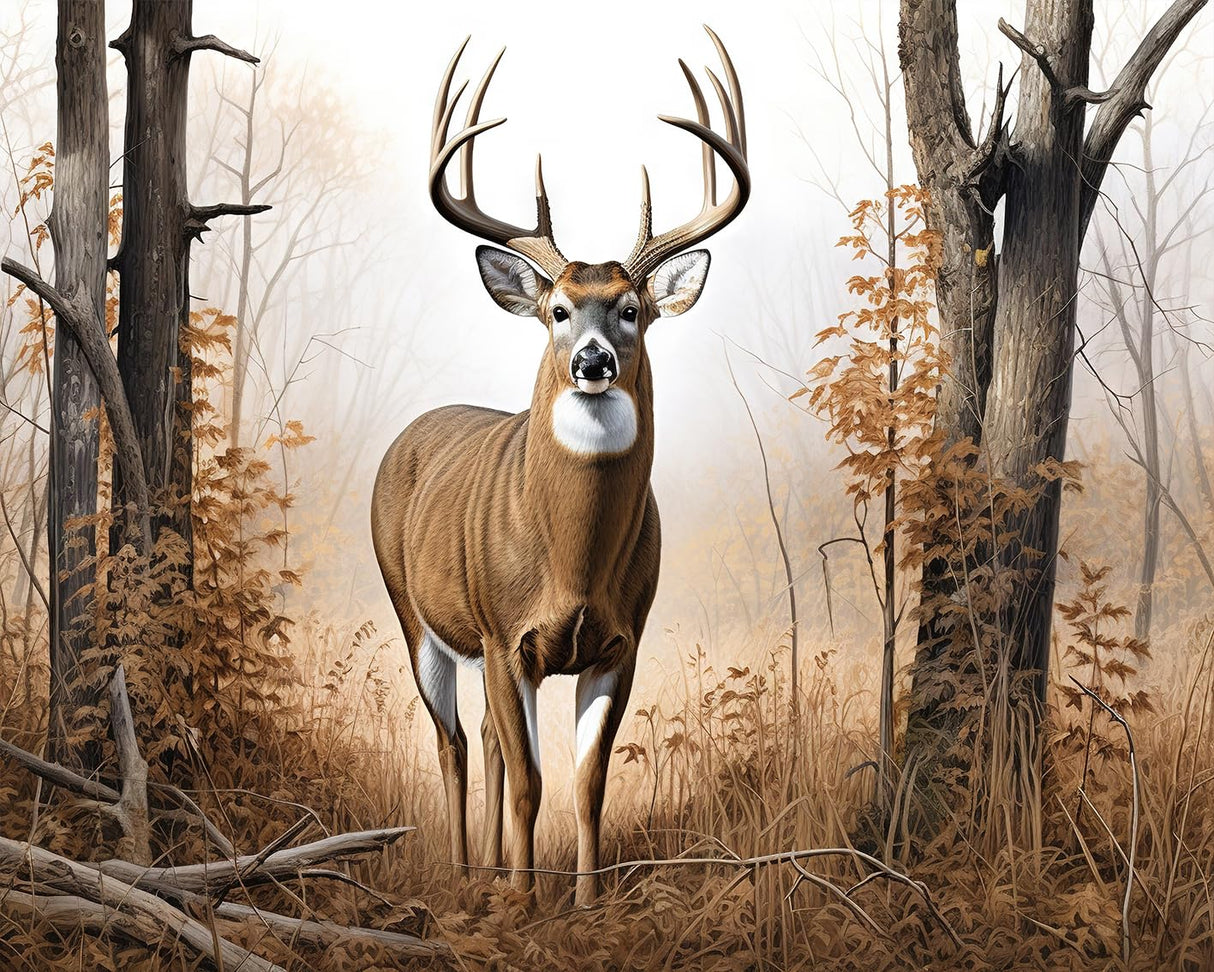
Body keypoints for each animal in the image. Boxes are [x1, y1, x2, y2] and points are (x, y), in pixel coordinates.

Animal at [371, 26, 748, 906]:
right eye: (557, 309)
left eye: (633, 309)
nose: (592, 361)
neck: (572, 559)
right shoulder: (506, 633)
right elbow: (532, 779)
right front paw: (521, 897)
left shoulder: (620, 641)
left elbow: (585, 781)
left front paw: (582, 900)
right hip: (417, 612)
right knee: (454, 742)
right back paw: (466, 873)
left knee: (483, 737)